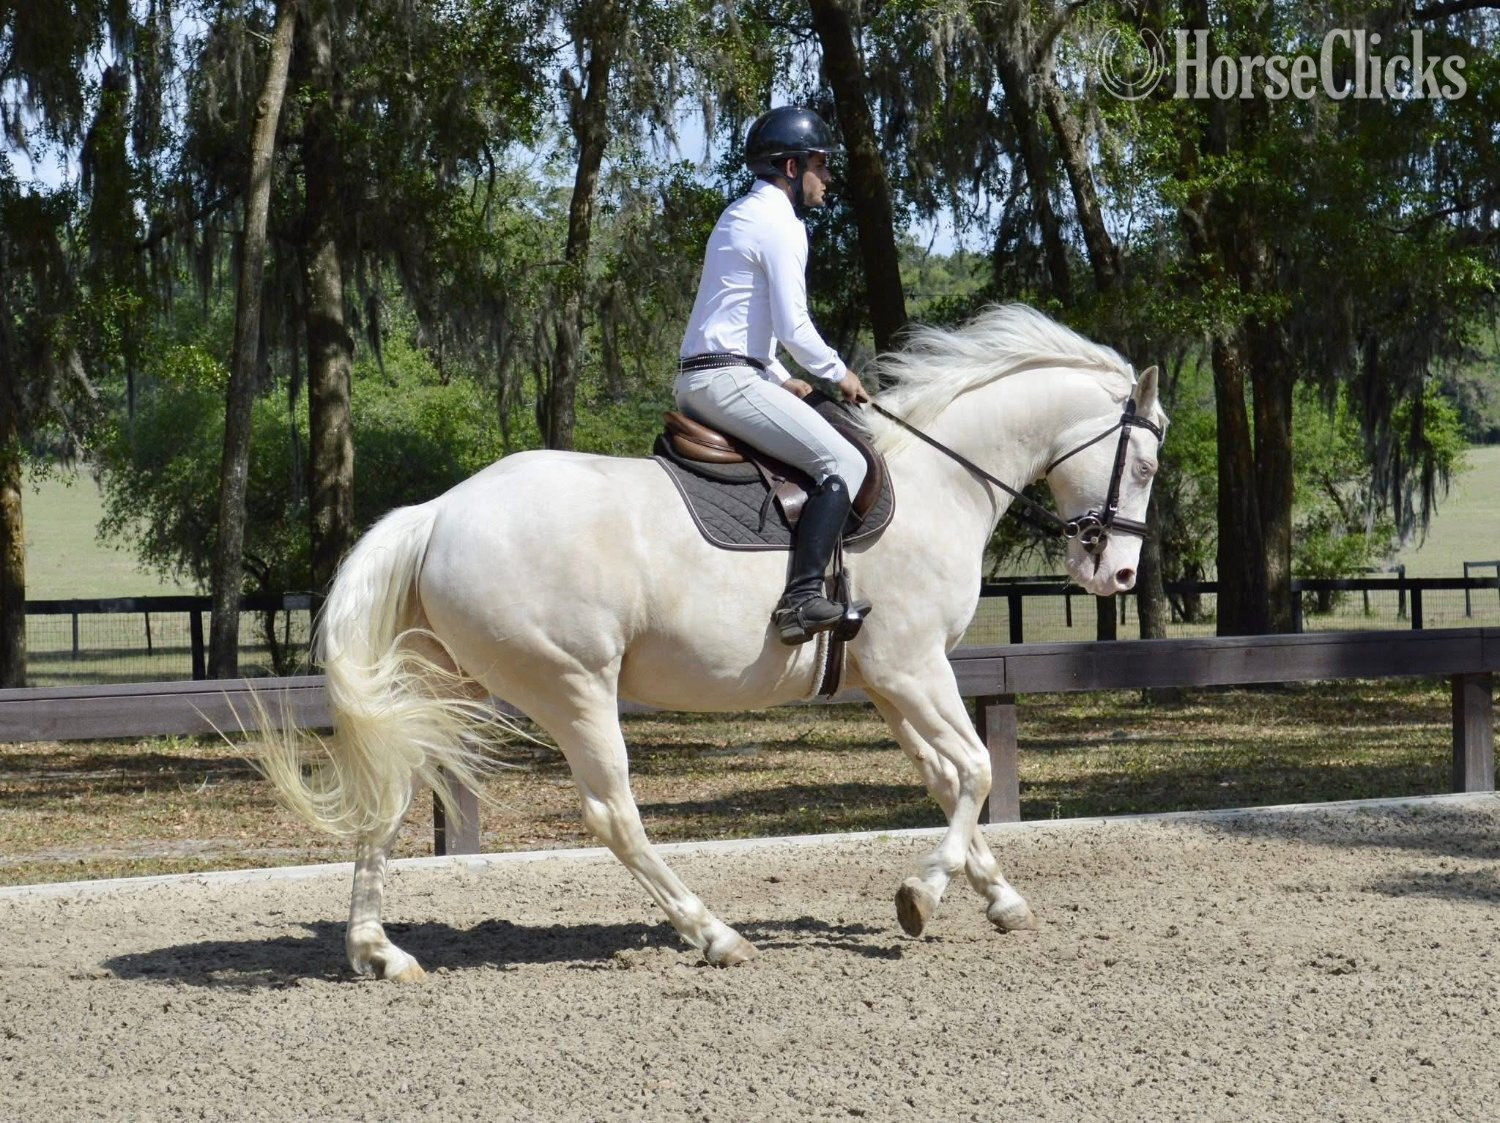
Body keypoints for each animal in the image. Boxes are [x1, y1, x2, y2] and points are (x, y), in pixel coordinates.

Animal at [257, 304, 1167, 981]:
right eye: (1148, 465)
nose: (1118, 574)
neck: (941, 478)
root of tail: (439, 511)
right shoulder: (912, 667)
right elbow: (975, 769)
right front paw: (922, 894)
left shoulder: (888, 680)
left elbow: (948, 779)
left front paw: (998, 896)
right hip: (573, 685)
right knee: (614, 813)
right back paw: (714, 932)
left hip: (443, 686)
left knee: (391, 793)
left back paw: (378, 950)